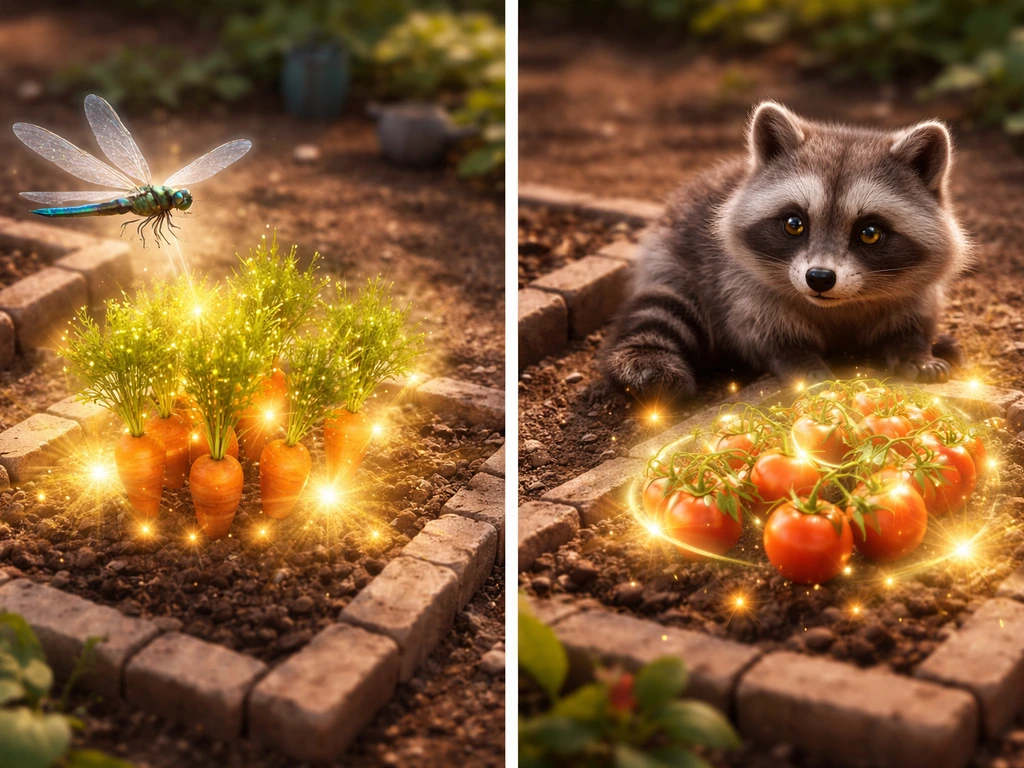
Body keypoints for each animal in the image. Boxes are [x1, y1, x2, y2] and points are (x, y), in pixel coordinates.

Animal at [602, 101, 972, 400]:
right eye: (795, 224)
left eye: (869, 234)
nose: (819, 278)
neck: (842, 306)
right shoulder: (739, 283)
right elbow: (764, 331)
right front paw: (797, 358)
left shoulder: (916, 289)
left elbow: (914, 317)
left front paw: (915, 349)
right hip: (675, 256)